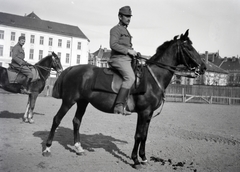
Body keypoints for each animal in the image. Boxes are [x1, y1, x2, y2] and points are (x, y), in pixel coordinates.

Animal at [42, 30, 205, 169]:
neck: (152, 79)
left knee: (76, 121)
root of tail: (72, 69)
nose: (203, 67)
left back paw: (78, 148)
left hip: (82, 102)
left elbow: (144, 136)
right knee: (57, 119)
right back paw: (47, 148)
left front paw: (143, 158)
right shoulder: (144, 112)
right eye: (188, 48)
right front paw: (135, 160)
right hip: (68, 101)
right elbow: (138, 135)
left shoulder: (149, 114)